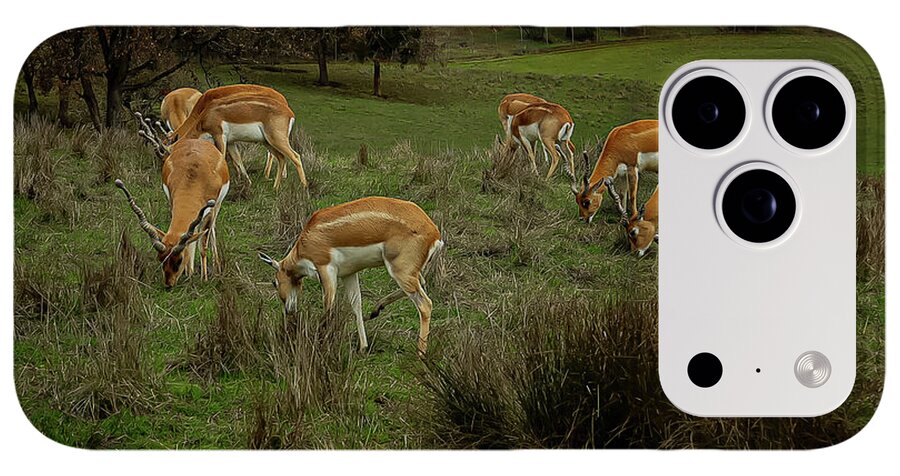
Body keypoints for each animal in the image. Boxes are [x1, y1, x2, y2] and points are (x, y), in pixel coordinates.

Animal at [119, 114, 230, 288]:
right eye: (161, 259)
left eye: (179, 260)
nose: (169, 284)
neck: (194, 177)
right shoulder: (173, 201)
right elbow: (190, 238)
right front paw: (189, 273)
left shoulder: (209, 210)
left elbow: (203, 244)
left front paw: (204, 278)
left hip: (217, 206)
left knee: (211, 230)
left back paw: (216, 265)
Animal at [167, 84, 306, 189]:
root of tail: (289, 112)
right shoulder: (231, 142)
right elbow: (237, 159)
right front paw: (246, 182)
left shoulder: (219, 136)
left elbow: (222, 158)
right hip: (267, 141)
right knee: (281, 157)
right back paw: (275, 187)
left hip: (276, 140)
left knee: (295, 156)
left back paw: (303, 187)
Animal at [258, 196, 443, 356]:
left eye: (274, 282)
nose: (289, 310)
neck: (307, 239)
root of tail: (434, 233)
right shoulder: (349, 274)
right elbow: (356, 305)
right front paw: (363, 347)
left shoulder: (326, 269)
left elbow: (328, 307)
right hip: (409, 272)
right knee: (421, 284)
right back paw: (376, 310)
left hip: (399, 271)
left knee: (425, 304)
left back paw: (420, 353)